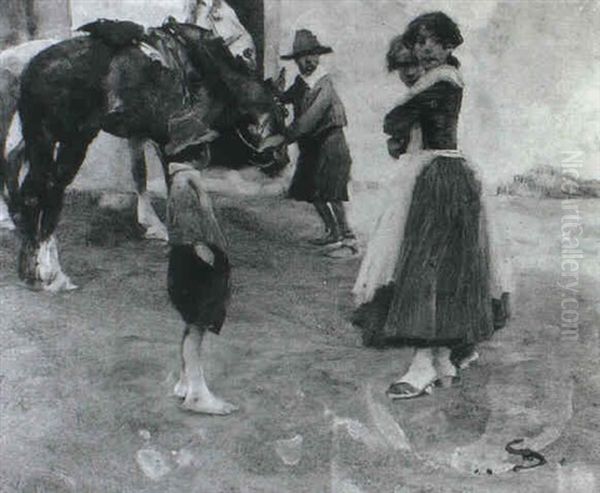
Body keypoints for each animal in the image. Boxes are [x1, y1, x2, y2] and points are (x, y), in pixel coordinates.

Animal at [13, 18, 286, 288]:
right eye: (282, 113)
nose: (282, 161)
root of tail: (36, 69)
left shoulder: (143, 137)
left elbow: (142, 174)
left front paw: (155, 226)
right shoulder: (175, 146)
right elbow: (176, 186)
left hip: (40, 138)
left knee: (31, 191)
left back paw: (29, 266)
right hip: (74, 141)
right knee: (51, 190)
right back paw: (52, 273)